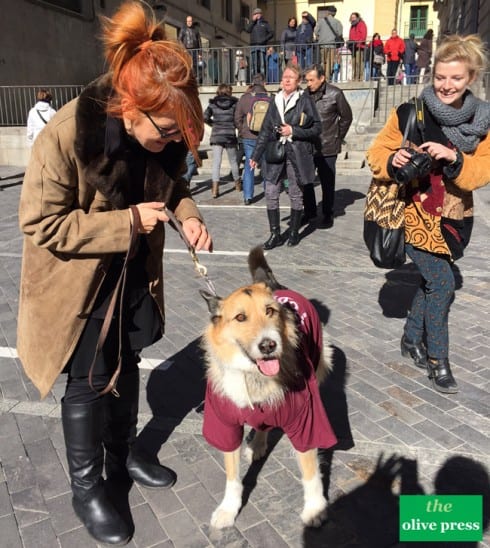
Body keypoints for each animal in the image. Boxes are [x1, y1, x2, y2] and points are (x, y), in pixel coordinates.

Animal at [199, 247, 336, 528]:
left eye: (270, 311)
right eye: (240, 317)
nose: (269, 345)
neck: (255, 377)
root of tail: (274, 285)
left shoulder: (306, 420)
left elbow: (310, 471)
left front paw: (315, 508)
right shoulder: (225, 423)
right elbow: (232, 476)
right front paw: (228, 508)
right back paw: (258, 446)